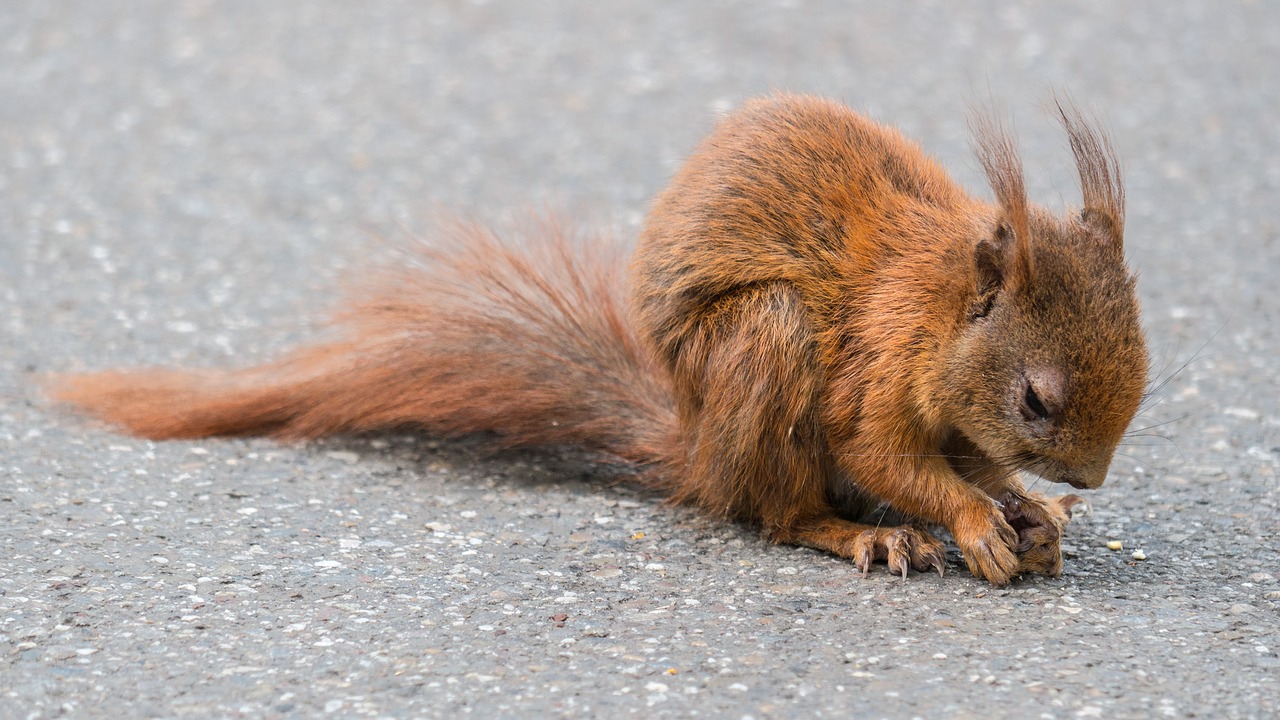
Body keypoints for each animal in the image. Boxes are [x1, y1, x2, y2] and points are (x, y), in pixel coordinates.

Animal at [47, 92, 1152, 584]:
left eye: (1143, 375)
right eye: (1037, 399)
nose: (1089, 478)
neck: (940, 309)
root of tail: (696, 445)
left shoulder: (953, 415)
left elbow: (972, 464)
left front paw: (1031, 511)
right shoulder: (876, 362)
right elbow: (883, 451)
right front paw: (972, 522)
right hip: (767, 344)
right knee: (774, 509)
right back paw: (856, 531)